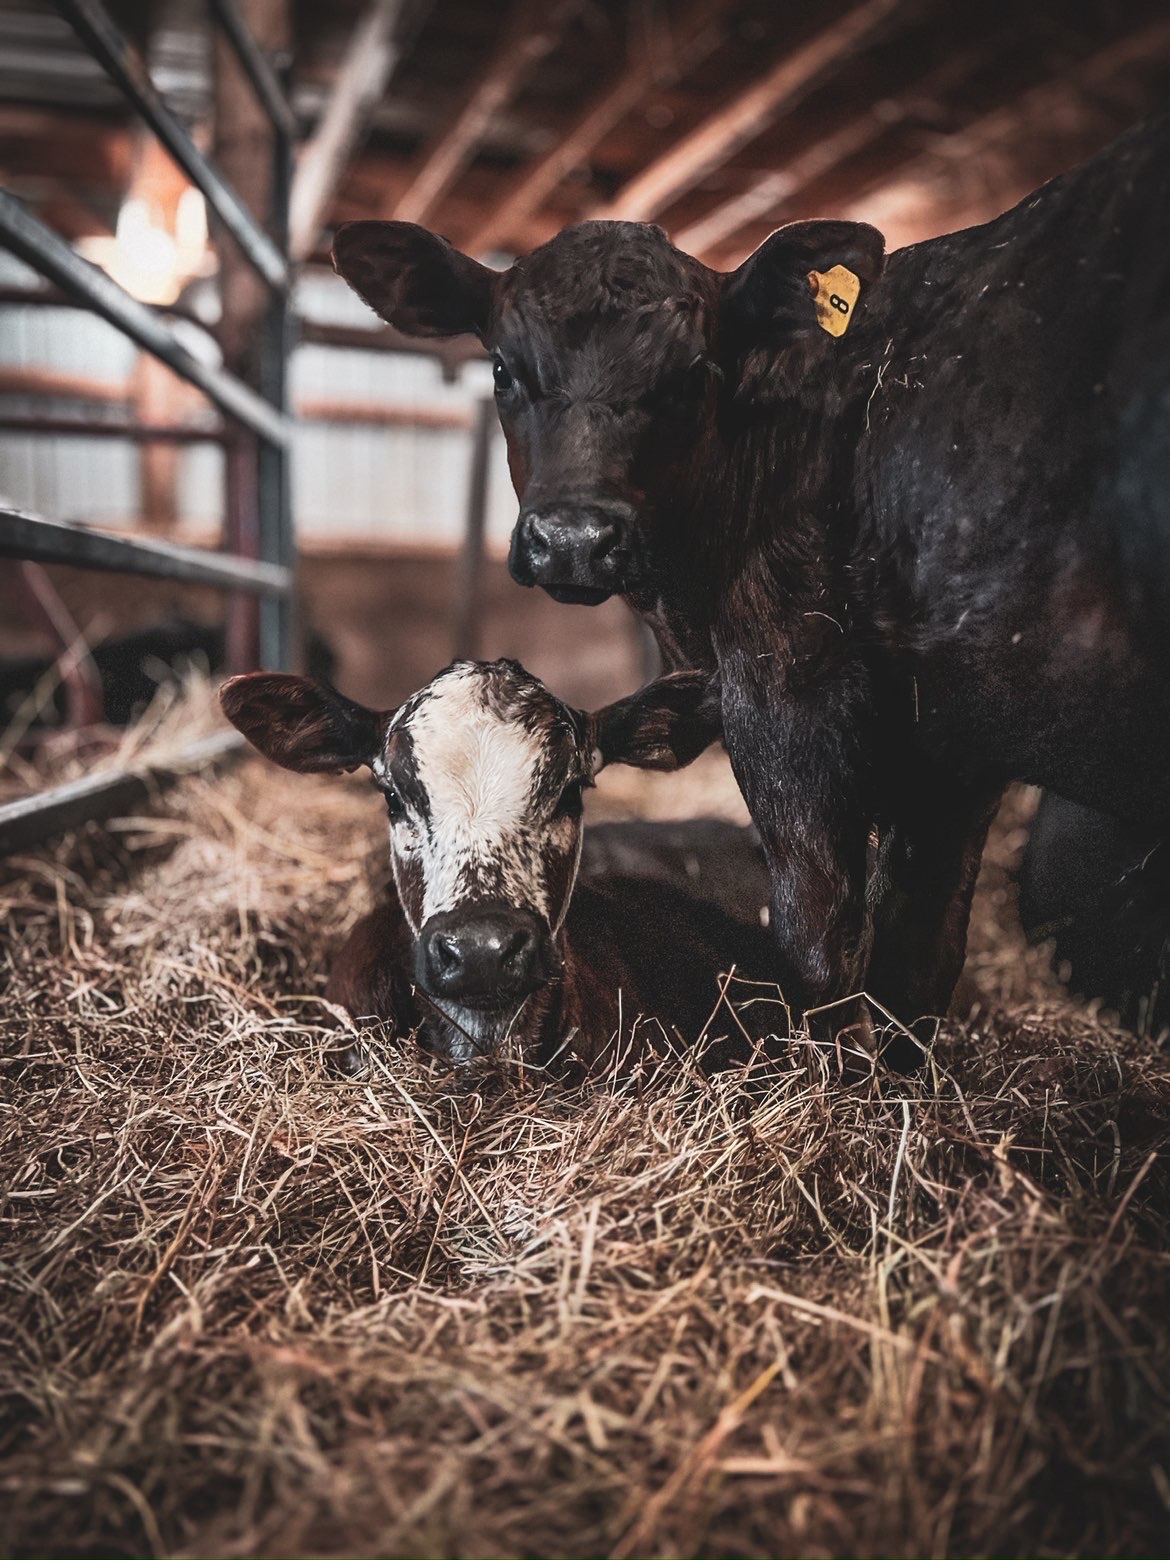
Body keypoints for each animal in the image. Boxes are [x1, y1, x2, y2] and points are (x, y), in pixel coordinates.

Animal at [331, 115, 1170, 1033]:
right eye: (503, 370)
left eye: (694, 373)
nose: (575, 540)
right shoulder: (952, 749)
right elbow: (917, 961)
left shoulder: (789, 692)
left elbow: (816, 943)